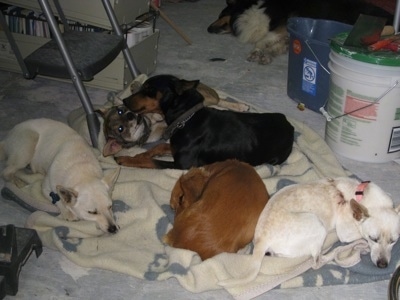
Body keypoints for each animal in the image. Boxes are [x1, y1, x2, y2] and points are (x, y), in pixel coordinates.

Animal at [115, 77, 294, 169]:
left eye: (149, 88)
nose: (124, 100)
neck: (186, 118)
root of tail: (288, 124)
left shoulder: (183, 164)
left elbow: (151, 162)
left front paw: (125, 159)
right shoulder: (175, 147)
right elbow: (158, 147)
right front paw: (140, 154)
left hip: (274, 159)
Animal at [209, 0, 394, 64]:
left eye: (220, 15)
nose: (207, 29)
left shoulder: (282, 26)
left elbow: (262, 40)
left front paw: (257, 53)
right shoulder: (285, 35)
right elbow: (275, 45)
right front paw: (266, 56)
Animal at [220, 177, 400, 288]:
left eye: (394, 241)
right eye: (373, 238)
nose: (383, 265)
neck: (360, 194)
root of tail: (261, 241)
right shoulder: (346, 232)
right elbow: (357, 234)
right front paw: (364, 245)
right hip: (317, 225)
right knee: (317, 262)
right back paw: (335, 252)